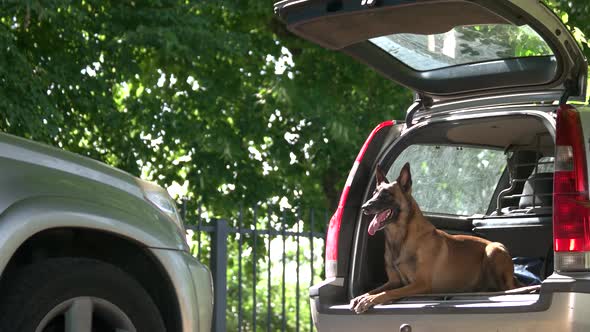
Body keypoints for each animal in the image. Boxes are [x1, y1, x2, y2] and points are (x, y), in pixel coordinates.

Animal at [352, 163, 520, 314]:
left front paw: (368, 300)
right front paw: (362, 296)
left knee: (509, 289)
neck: (400, 237)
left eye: (386, 194)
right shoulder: (394, 281)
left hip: (492, 249)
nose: (364, 207)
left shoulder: (420, 284)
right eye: (374, 193)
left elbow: (388, 293)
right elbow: (375, 289)